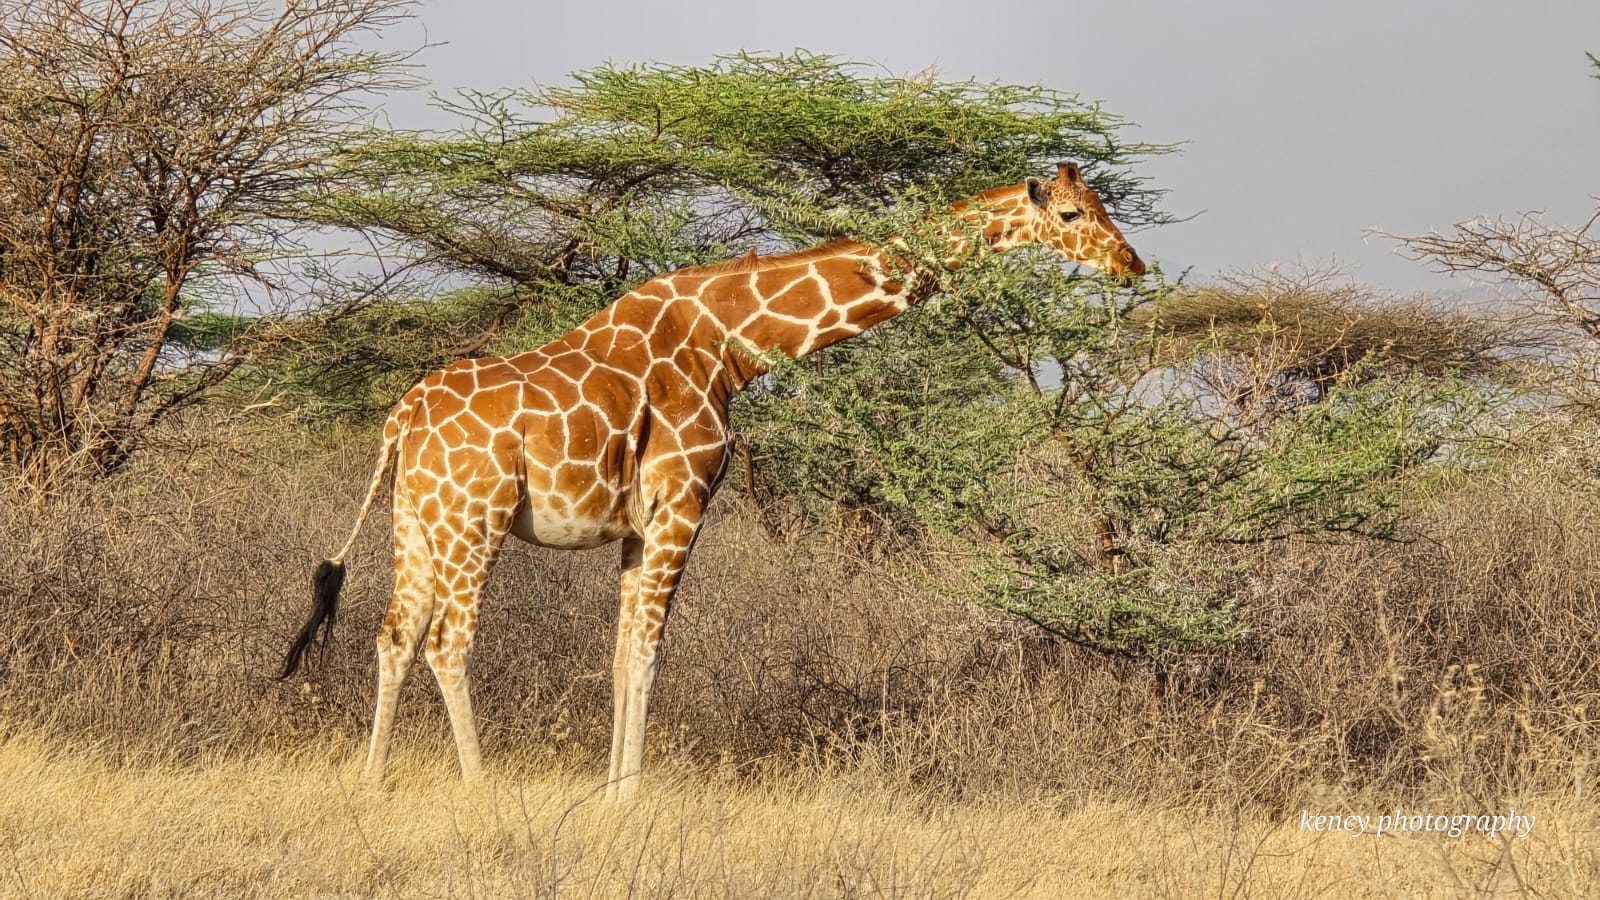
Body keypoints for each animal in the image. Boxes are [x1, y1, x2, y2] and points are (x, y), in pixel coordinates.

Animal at [281, 162, 1145, 800]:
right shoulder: (684, 503)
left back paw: (372, 781)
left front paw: (612, 790)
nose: (1131, 263)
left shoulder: (637, 525)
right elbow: (649, 653)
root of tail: (402, 418)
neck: (734, 344)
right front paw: (627, 801)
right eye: (1073, 215)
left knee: (395, 635)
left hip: (417, 522)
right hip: (477, 519)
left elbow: (621, 652)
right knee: (448, 643)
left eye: (1104, 206)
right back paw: (480, 788)